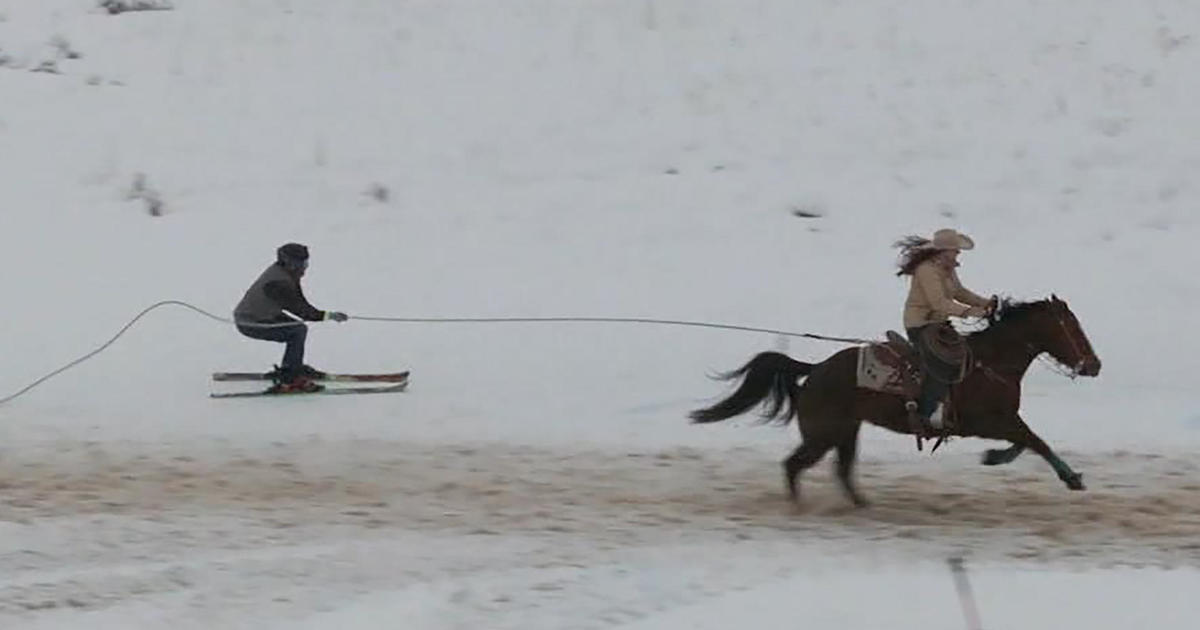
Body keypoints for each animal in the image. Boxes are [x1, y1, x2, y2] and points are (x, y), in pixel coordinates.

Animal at [691, 295, 1099, 506]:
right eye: (1072, 327)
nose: (1093, 364)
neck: (990, 362)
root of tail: (816, 369)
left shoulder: (1001, 420)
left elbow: (1025, 442)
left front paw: (994, 457)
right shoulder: (989, 421)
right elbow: (1035, 441)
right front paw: (1072, 478)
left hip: (845, 433)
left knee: (840, 469)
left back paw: (861, 504)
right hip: (822, 435)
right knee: (793, 466)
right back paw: (801, 506)